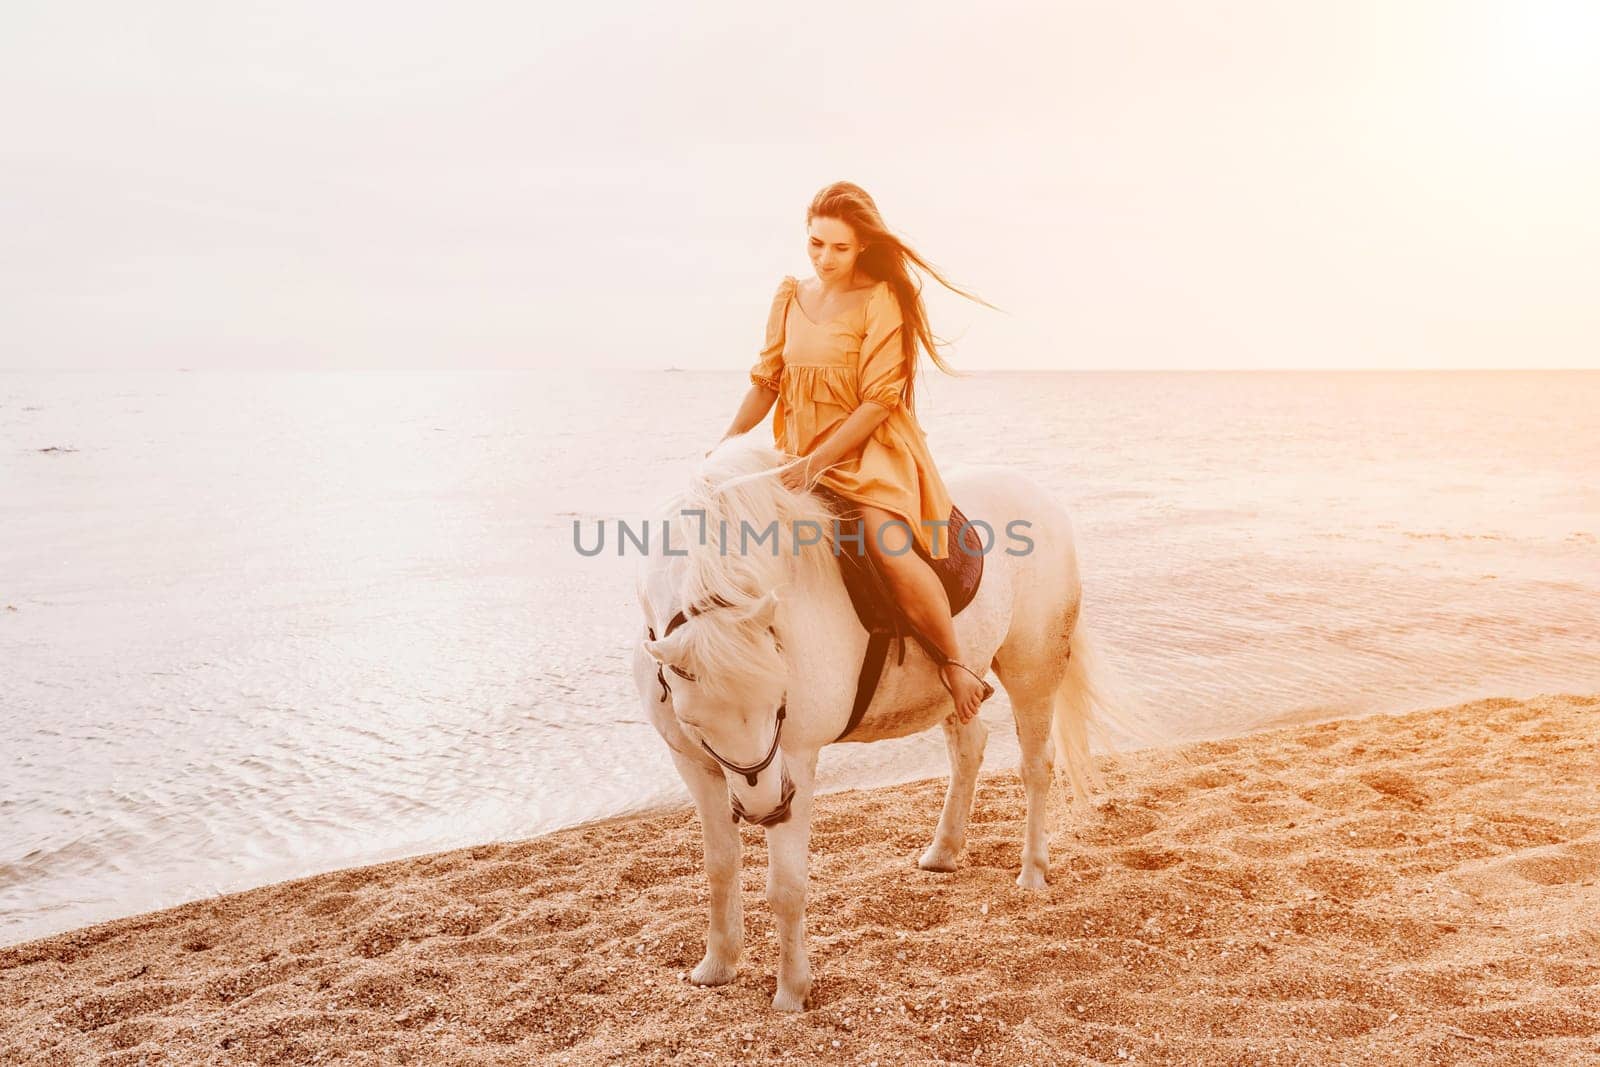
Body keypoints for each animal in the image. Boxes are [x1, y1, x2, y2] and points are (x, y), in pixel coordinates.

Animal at [630, 435, 1132, 1011]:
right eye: (694, 719)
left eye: (780, 703)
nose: (764, 808)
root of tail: (1041, 497)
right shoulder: (694, 763)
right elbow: (718, 867)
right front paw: (716, 965)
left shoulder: (795, 760)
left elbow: (786, 887)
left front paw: (791, 991)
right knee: (970, 748)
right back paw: (943, 851)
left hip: (1034, 667)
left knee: (1035, 765)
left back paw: (1032, 869)